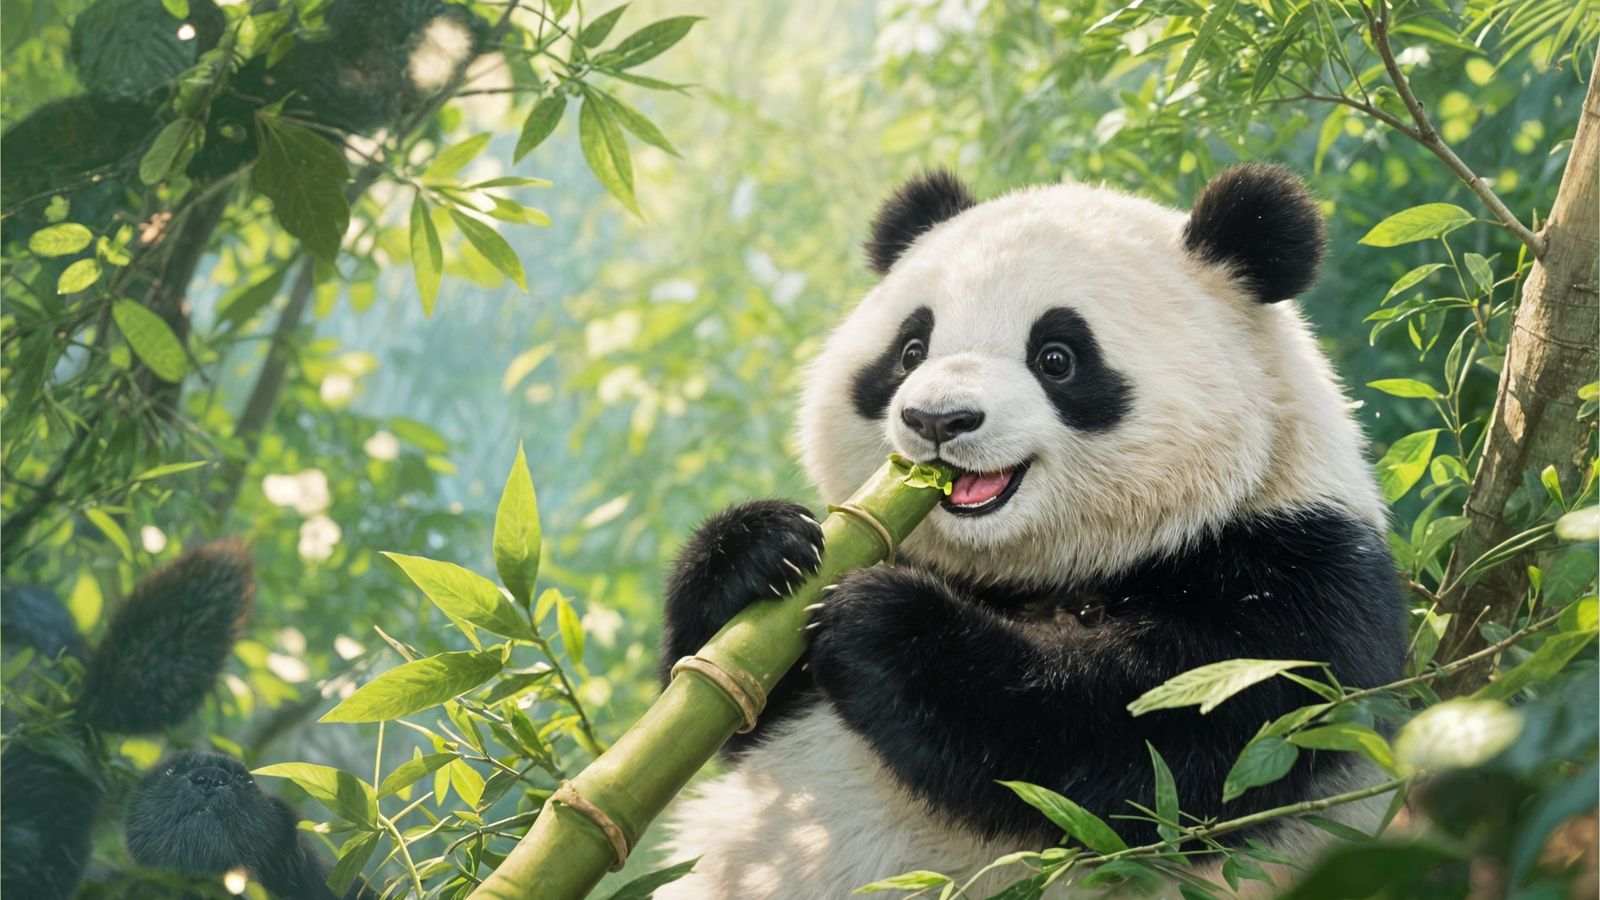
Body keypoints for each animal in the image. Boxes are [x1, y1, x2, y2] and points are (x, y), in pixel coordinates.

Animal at [653, 164, 1406, 897]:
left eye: (1057, 357)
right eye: (911, 349)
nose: (937, 419)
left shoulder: (1304, 577)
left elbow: (1160, 742)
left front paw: (883, 623)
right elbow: (727, 707)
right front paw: (757, 549)